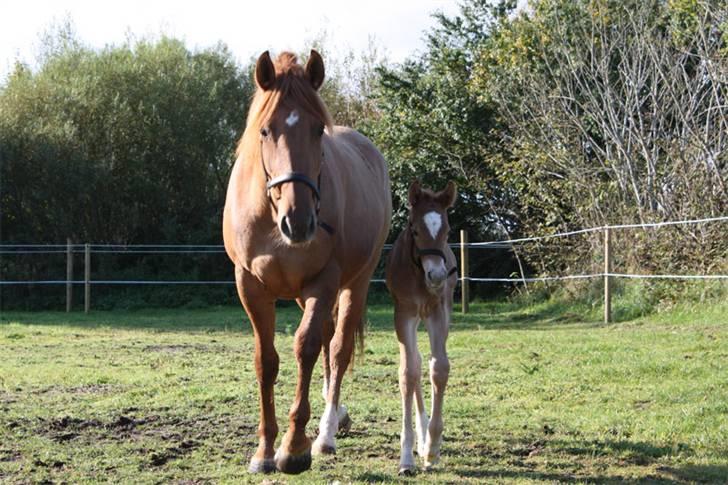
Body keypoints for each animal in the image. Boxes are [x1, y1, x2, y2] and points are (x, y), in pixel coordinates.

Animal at [223, 50, 390, 472]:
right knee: (331, 338)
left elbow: (307, 347)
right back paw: (337, 415)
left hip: (356, 282)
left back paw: (327, 431)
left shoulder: (324, 280)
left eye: (318, 131)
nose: (298, 222)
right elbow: (266, 360)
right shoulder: (250, 285)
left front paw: (294, 446)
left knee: (339, 346)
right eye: (266, 131)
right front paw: (264, 450)